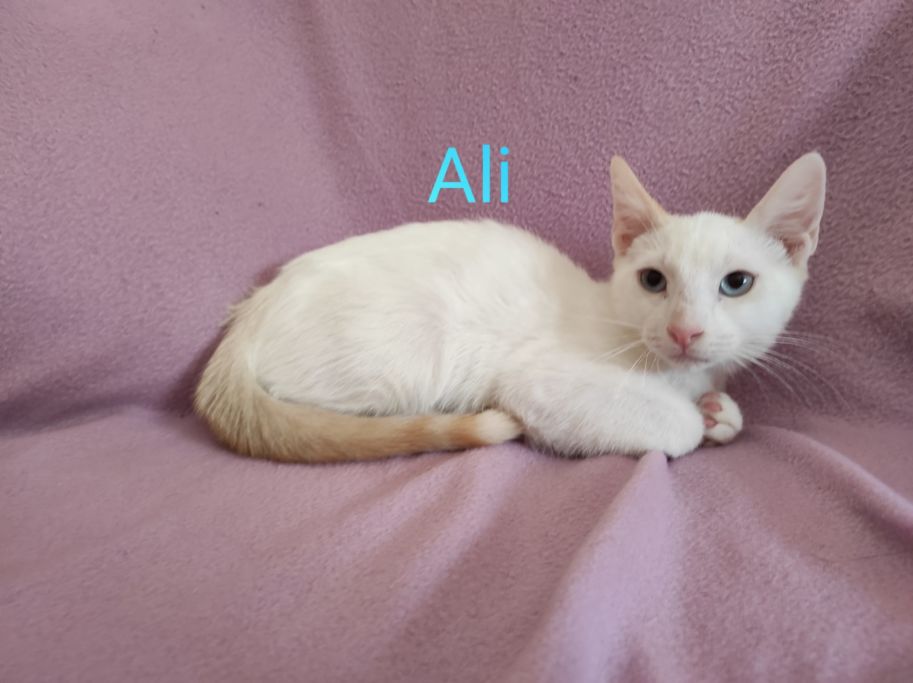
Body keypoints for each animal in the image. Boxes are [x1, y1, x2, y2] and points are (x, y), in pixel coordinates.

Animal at [195, 152, 825, 463]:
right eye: (653, 281)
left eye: (736, 284)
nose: (685, 332)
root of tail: (251, 314)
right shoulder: (539, 380)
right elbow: (675, 425)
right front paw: (698, 418)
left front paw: (720, 411)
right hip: (400, 364)